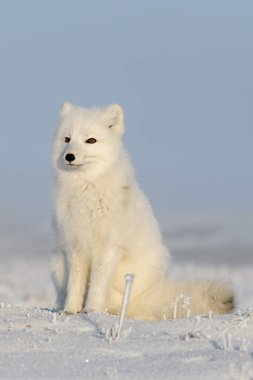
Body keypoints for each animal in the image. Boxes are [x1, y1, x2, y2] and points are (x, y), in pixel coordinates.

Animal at [51, 102, 235, 320]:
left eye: (91, 140)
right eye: (67, 139)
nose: (69, 156)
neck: (86, 189)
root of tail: (149, 296)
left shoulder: (109, 248)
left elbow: (97, 285)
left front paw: (92, 310)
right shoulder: (74, 246)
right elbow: (75, 285)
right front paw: (70, 310)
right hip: (56, 262)